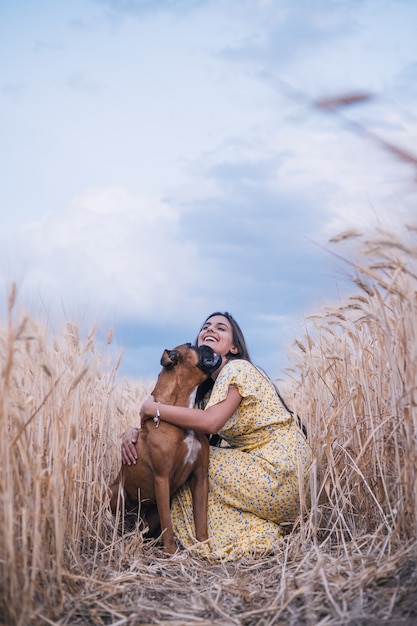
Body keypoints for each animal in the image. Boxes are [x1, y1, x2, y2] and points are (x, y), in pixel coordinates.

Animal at [109, 344, 221, 552]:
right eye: (192, 345)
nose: (207, 345)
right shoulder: (162, 478)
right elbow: (168, 525)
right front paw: (171, 552)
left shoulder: (200, 477)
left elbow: (201, 522)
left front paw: (205, 548)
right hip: (114, 491)